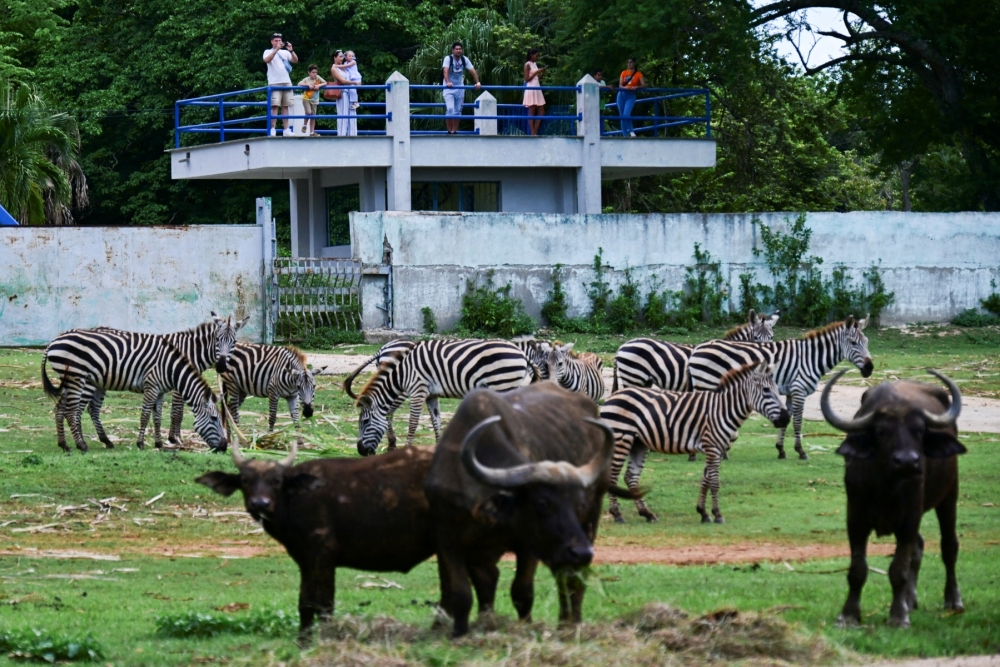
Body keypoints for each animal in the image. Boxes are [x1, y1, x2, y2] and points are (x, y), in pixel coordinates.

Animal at [41, 330, 226, 452]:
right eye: (214, 418)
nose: (224, 446)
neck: (169, 368)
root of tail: (53, 342)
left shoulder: (160, 391)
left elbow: (157, 418)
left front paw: (159, 444)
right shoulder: (151, 386)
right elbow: (145, 415)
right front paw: (141, 443)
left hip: (70, 381)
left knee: (61, 409)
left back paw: (65, 444)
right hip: (77, 378)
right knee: (72, 411)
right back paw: (81, 445)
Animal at [354, 338, 532, 456]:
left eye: (365, 422)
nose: (360, 451)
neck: (402, 372)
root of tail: (520, 352)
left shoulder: (418, 389)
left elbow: (413, 423)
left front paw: (407, 450)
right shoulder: (431, 395)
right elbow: (436, 422)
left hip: (502, 384)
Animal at [600, 362, 790, 524]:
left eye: (776, 390)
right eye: (766, 390)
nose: (786, 419)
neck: (724, 410)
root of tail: (612, 396)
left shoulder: (714, 448)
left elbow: (705, 480)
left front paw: (703, 513)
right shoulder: (712, 447)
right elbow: (715, 482)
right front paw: (718, 514)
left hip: (638, 443)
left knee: (631, 477)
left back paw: (647, 513)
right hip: (622, 438)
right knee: (614, 476)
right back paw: (617, 514)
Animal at [688, 315, 873, 460]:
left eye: (866, 342)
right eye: (853, 343)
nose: (870, 368)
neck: (810, 358)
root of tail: (698, 347)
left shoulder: (791, 393)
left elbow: (787, 419)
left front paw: (781, 450)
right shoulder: (799, 390)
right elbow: (798, 421)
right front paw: (801, 451)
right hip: (707, 382)